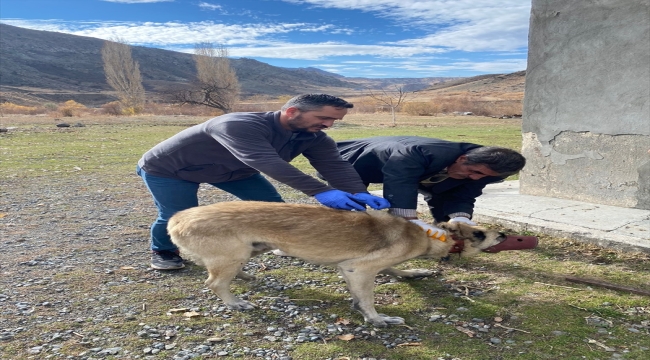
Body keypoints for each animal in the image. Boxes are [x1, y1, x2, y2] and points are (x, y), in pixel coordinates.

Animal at [166, 201, 502, 328]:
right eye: (480, 233)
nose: (503, 234)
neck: (428, 233)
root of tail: (176, 218)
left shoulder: (359, 269)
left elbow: (391, 271)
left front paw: (411, 272)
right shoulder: (360, 269)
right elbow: (368, 300)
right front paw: (376, 319)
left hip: (248, 251)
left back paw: (246, 278)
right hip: (230, 257)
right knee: (214, 283)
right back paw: (235, 302)